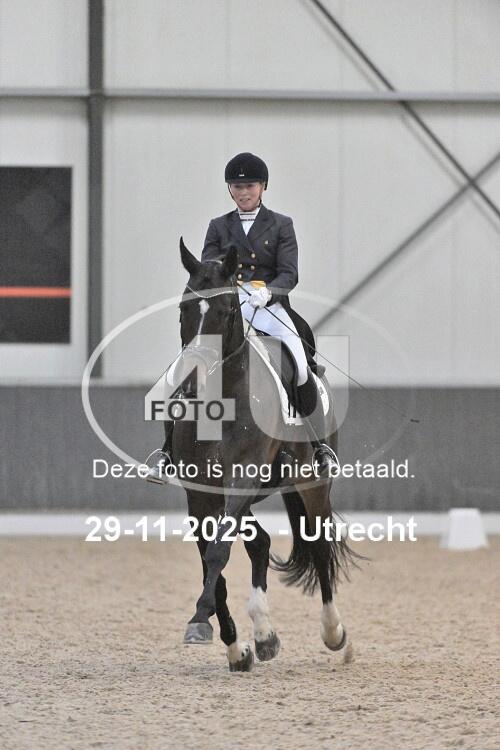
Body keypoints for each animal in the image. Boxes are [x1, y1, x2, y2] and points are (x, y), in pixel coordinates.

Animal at [168, 238, 355, 672]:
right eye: (185, 308)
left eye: (223, 311)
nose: (193, 379)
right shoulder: (200, 496)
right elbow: (212, 561)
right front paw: (234, 645)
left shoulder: (240, 481)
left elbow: (218, 552)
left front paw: (202, 620)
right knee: (261, 543)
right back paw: (264, 636)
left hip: (310, 485)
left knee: (319, 546)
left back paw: (333, 632)